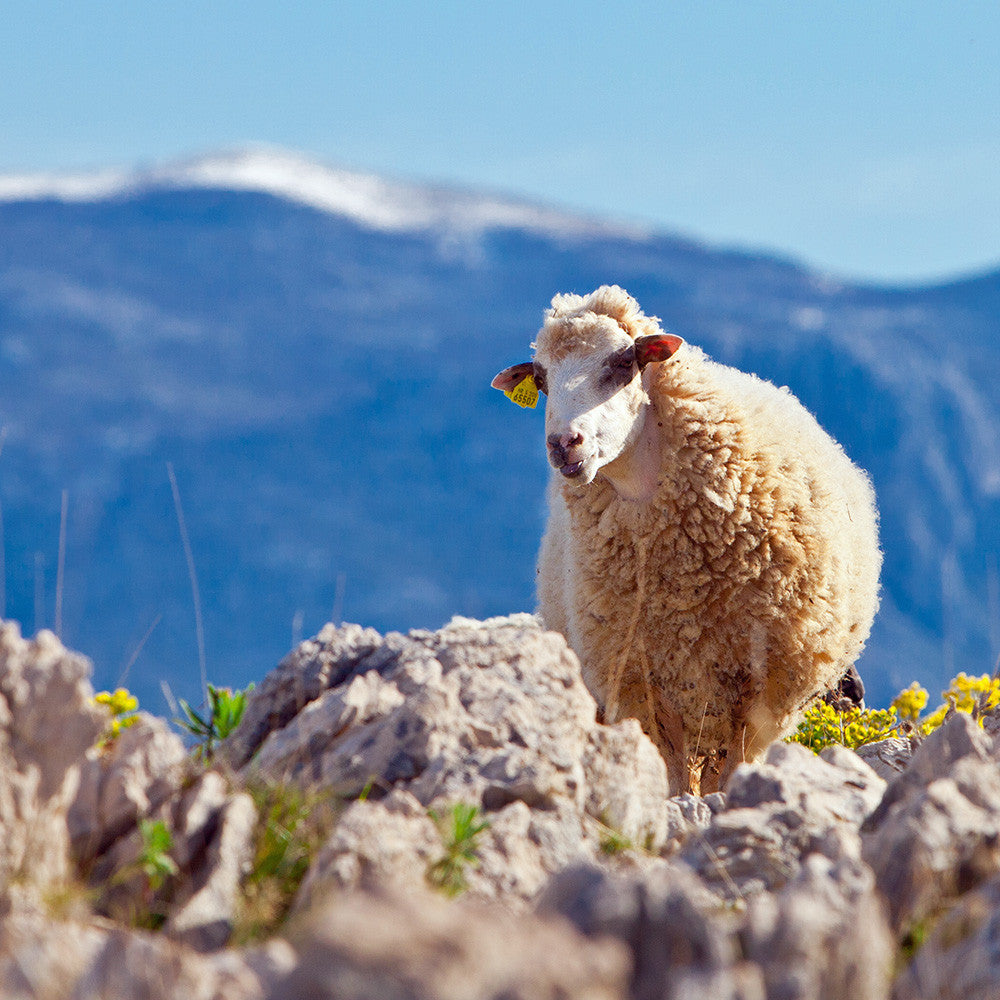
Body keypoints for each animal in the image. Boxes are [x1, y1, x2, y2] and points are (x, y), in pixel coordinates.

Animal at [492, 285, 881, 794]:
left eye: (624, 362)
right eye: (540, 379)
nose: (563, 444)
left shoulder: (760, 684)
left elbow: (734, 765)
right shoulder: (643, 679)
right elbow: (674, 771)